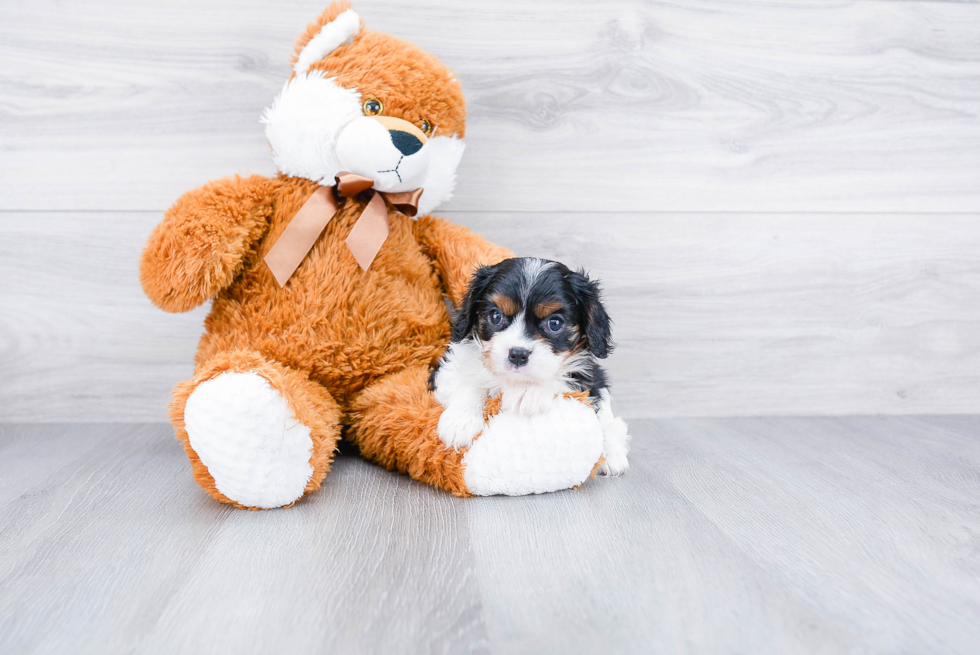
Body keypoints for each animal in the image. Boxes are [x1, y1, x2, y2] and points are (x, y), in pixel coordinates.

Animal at [432, 256, 632, 476]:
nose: (518, 354)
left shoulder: (587, 377)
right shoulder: (448, 365)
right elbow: (466, 380)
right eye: (495, 316)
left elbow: (559, 378)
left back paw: (612, 456)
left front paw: (529, 390)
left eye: (555, 323)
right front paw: (460, 421)